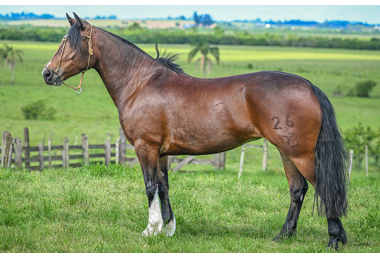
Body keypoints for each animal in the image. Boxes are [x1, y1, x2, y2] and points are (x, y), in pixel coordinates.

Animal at [42, 13, 348, 251]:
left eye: (70, 42)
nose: (47, 74)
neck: (141, 83)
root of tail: (308, 86)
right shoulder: (162, 152)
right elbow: (164, 187)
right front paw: (168, 229)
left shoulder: (145, 147)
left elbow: (150, 187)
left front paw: (150, 230)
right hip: (287, 152)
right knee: (297, 190)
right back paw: (283, 236)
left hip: (301, 153)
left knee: (323, 187)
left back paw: (334, 239)